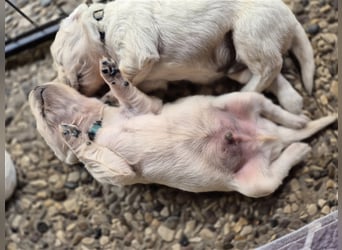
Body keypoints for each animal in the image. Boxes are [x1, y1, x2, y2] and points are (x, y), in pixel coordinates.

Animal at [28, 58, 334, 197]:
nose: (32, 88)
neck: (97, 125)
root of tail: (271, 137)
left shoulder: (145, 106)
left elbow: (127, 93)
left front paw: (111, 73)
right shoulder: (115, 174)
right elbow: (93, 155)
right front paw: (72, 135)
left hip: (238, 99)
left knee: (272, 108)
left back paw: (298, 121)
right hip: (256, 184)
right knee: (277, 169)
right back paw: (299, 147)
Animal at [49, 0, 314, 114]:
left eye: (58, 60)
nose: (57, 82)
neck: (101, 24)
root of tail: (290, 17)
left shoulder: (136, 46)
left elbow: (127, 71)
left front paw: (109, 95)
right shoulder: (153, 79)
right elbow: (142, 83)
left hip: (249, 31)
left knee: (270, 67)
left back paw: (238, 95)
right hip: (239, 58)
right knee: (270, 74)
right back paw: (291, 101)